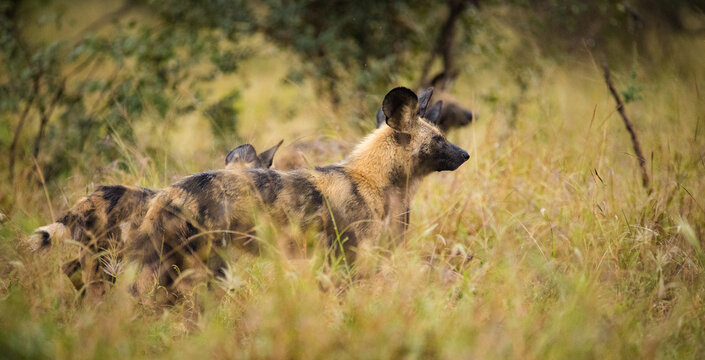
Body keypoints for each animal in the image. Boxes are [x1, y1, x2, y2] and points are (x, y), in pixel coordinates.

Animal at [131, 87, 472, 300]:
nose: (466, 154)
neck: (374, 179)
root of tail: (164, 196)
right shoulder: (353, 260)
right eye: (439, 139)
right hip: (206, 266)